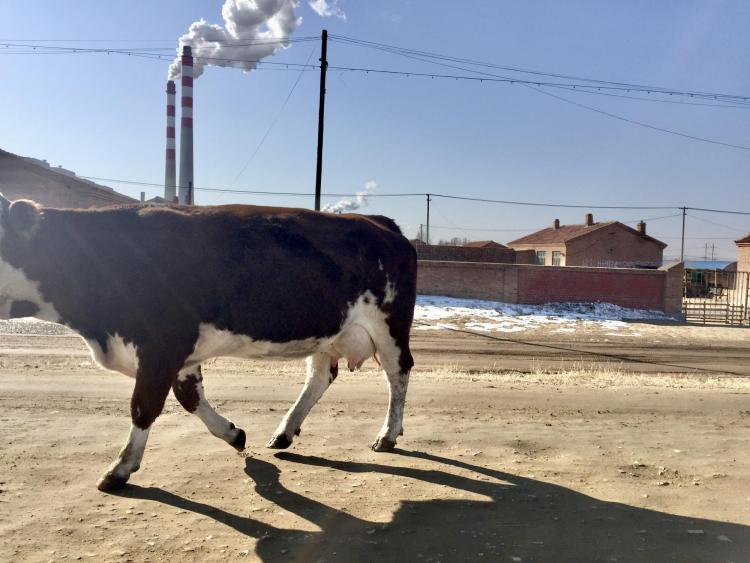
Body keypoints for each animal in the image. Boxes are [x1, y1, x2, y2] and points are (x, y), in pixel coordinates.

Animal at [0, 195, 418, 494]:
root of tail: (380, 223)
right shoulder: (178, 354)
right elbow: (190, 399)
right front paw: (235, 434)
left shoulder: (162, 343)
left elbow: (143, 406)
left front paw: (120, 468)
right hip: (329, 330)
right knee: (320, 377)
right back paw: (284, 431)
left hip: (389, 324)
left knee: (398, 374)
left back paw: (387, 435)